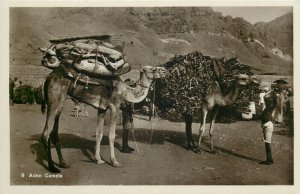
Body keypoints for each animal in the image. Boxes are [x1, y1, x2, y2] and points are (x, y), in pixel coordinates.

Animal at [39, 47, 169, 173]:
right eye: (153, 69)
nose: (165, 70)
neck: (124, 90)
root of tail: (48, 78)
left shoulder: (102, 108)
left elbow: (99, 133)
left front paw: (98, 159)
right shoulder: (115, 106)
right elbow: (111, 135)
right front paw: (114, 162)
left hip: (60, 102)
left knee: (53, 132)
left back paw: (63, 163)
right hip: (54, 100)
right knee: (46, 133)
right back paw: (52, 168)